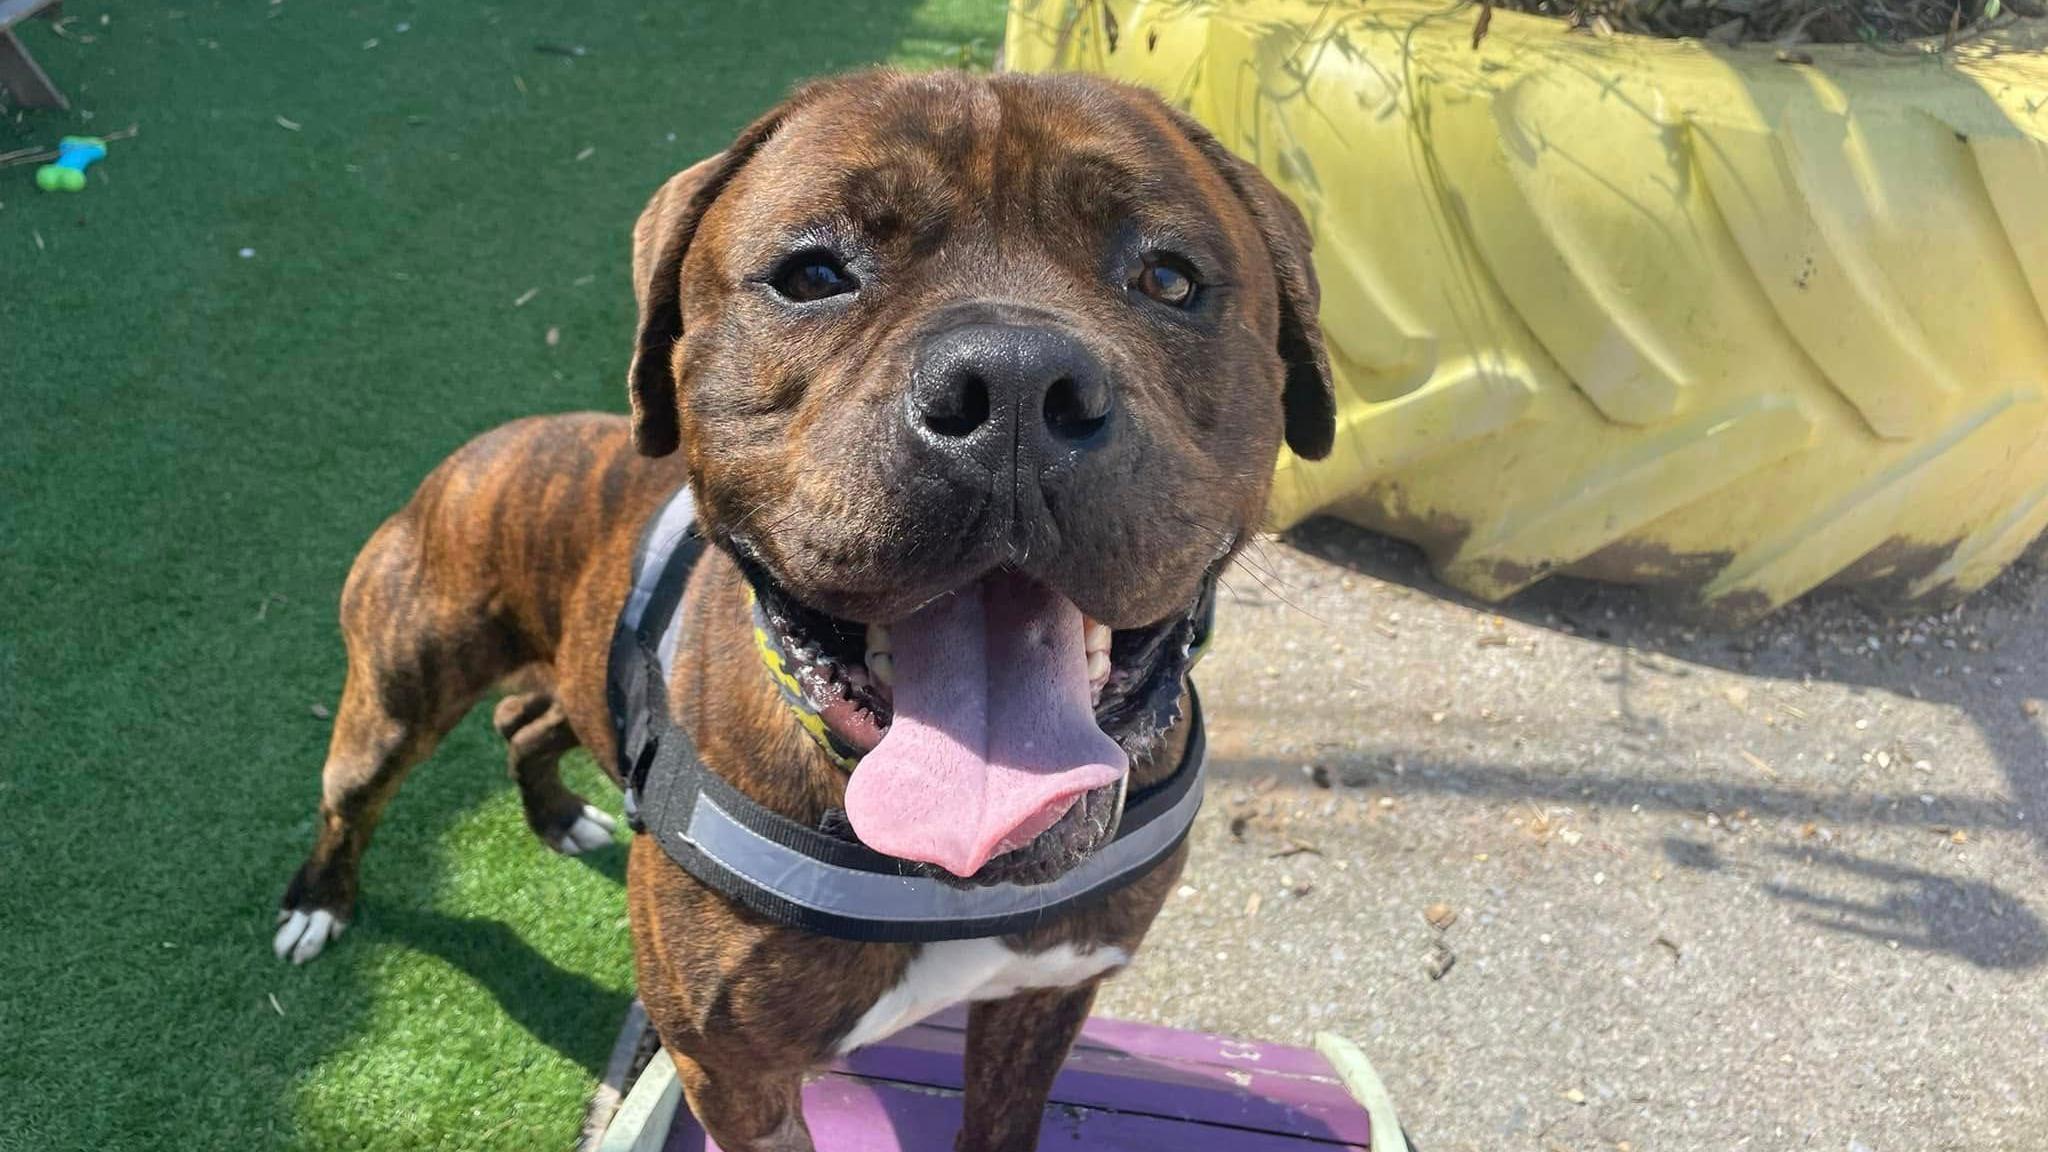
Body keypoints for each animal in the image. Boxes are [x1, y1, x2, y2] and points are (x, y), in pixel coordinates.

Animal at [276, 71, 1327, 1147]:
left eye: (1167, 278)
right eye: (814, 273)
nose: (1014, 381)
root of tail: (481, 450)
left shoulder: (1044, 997)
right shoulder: (733, 1070)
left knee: (525, 717)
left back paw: (560, 815)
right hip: (395, 697)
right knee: (352, 793)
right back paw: (318, 904)